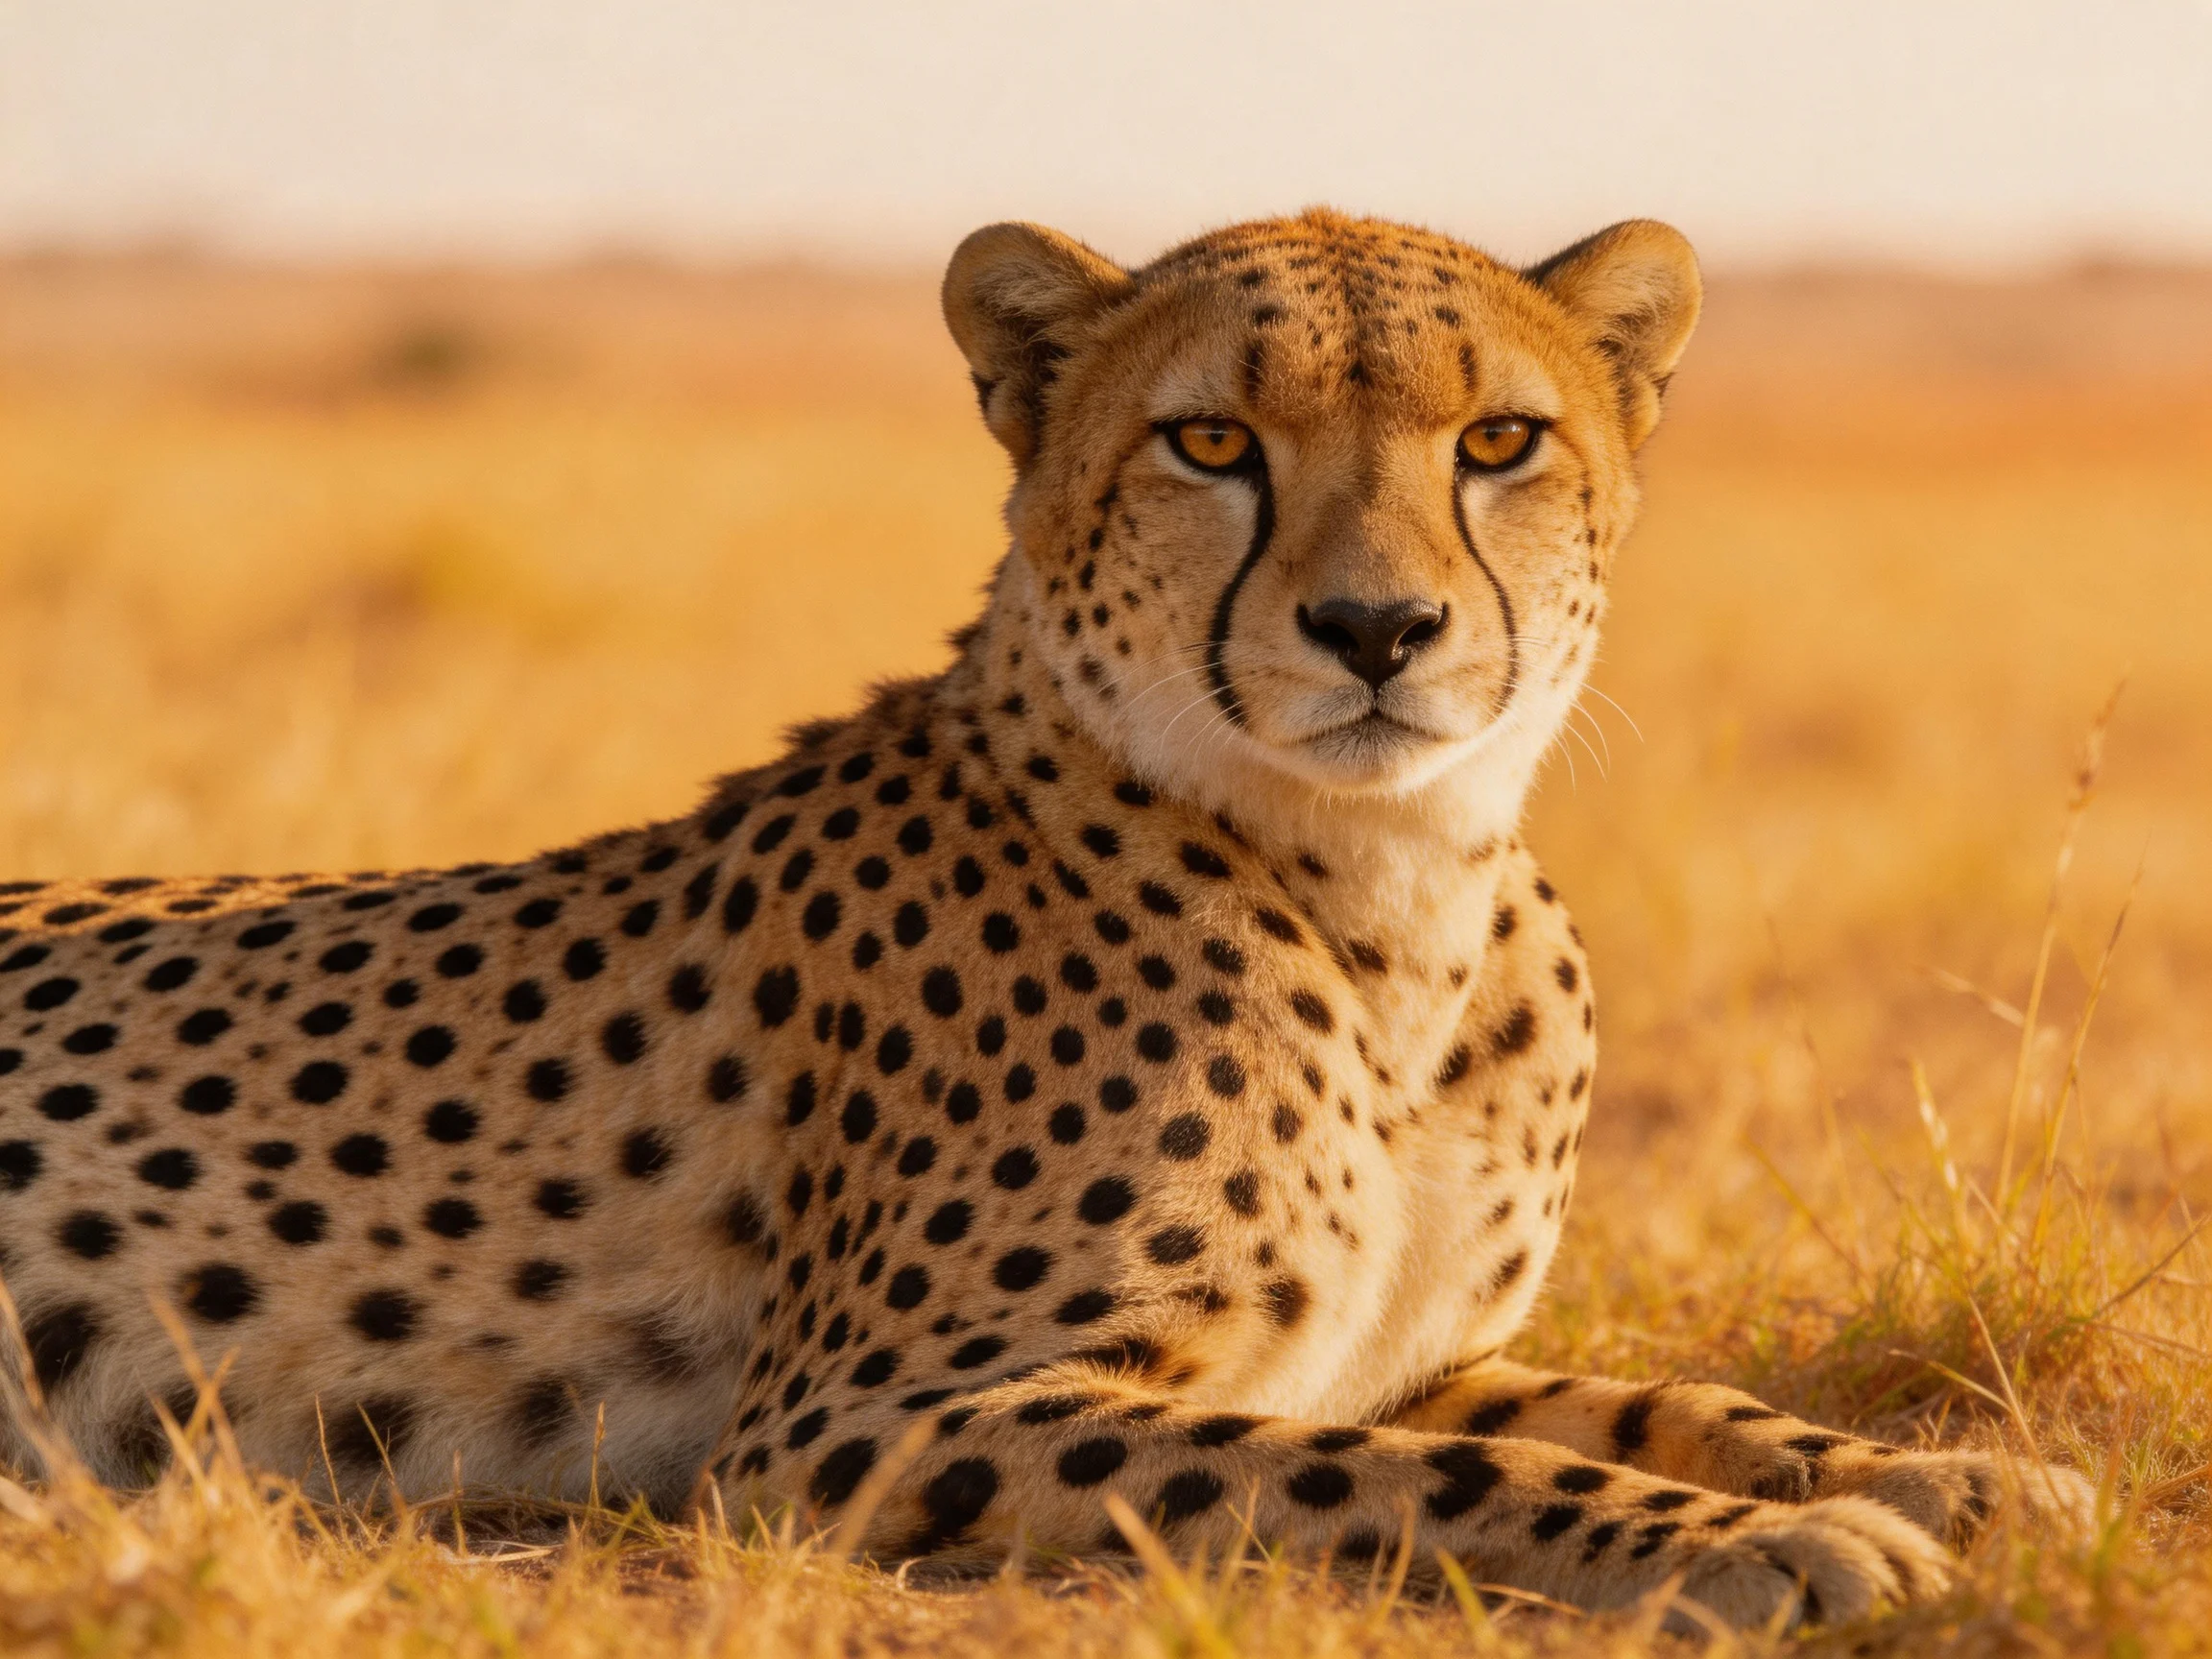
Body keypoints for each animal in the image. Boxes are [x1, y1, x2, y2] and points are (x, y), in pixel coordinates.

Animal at [0, 209, 2090, 1630]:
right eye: (1210, 444)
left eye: (1496, 442)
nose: (1377, 628)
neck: (1385, 894)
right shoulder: (853, 1427)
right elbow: (1395, 1468)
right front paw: (1771, 1541)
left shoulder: (1416, 1342)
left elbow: (1650, 1395)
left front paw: (1940, 1470)